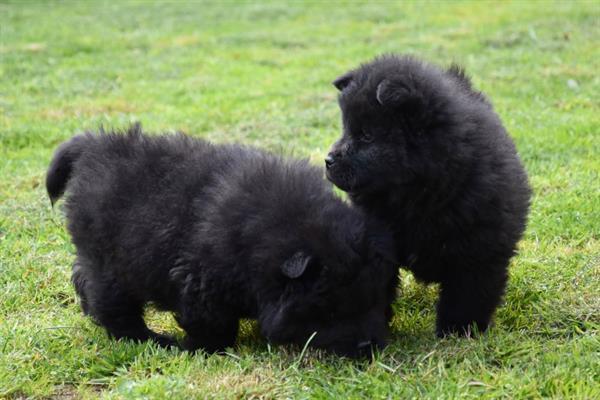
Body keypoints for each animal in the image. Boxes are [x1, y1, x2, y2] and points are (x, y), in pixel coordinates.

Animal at [44, 124, 396, 356]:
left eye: (376, 300)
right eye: (332, 310)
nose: (368, 346)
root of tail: (93, 147)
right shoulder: (201, 281)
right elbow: (213, 325)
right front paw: (200, 349)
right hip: (113, 263)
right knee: (113, 306)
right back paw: (153, 340)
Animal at [328, 55, 528, 338]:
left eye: (367, 136)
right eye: (346, 129)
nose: (328, 160)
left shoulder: (479, 249)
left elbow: (468, 294)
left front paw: (459, 330)